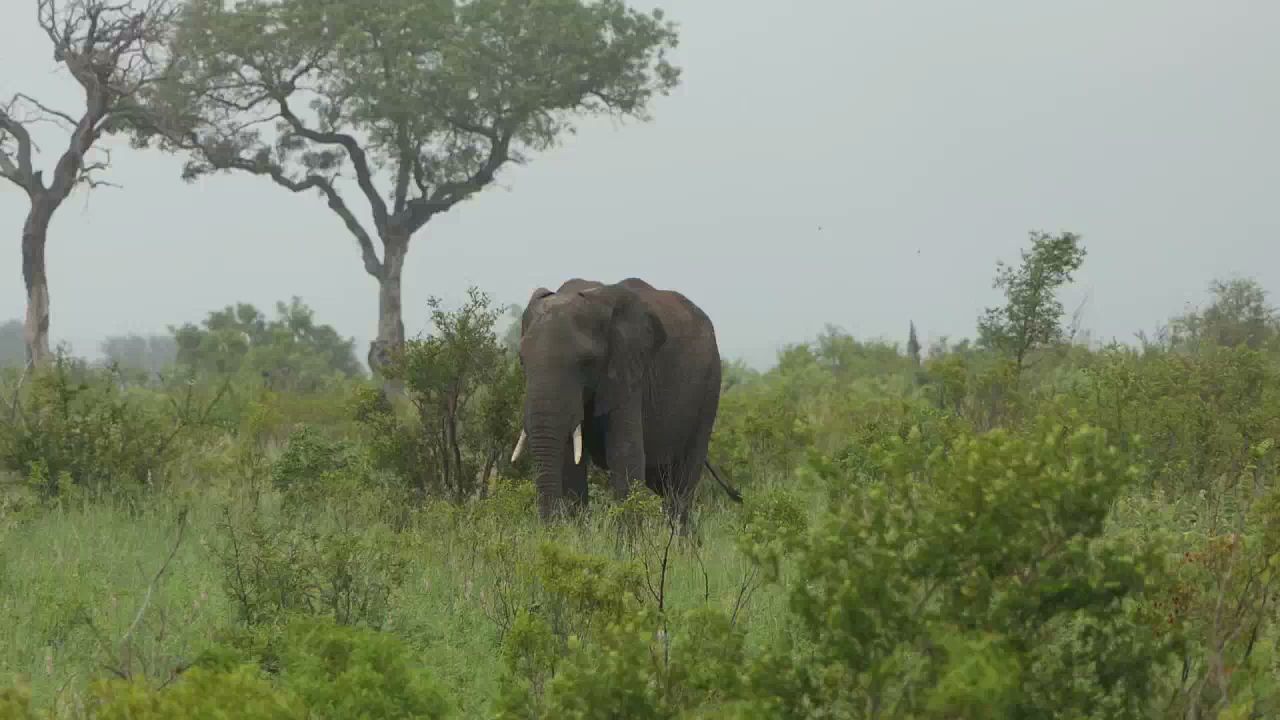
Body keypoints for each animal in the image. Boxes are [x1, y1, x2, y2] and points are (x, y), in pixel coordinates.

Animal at [512, 278, 742, 525]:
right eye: (522, 360)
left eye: (586, 362)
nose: (548, 527)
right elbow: (570, 462)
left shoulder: (628, 370)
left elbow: (624, 454)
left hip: (709, 387)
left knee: (682, 483)